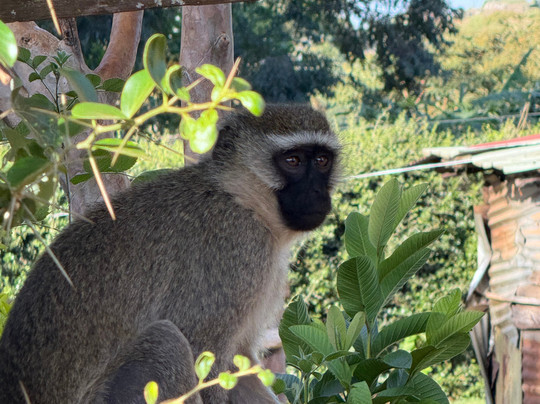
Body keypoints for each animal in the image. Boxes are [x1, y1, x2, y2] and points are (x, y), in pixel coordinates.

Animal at [0, 104, 341, 404]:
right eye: (293, 160)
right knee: (166, 341)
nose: (316, 193)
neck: (240, 198)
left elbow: (237, 363)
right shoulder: (237, 249)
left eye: (322, 160)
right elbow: (206, 360)